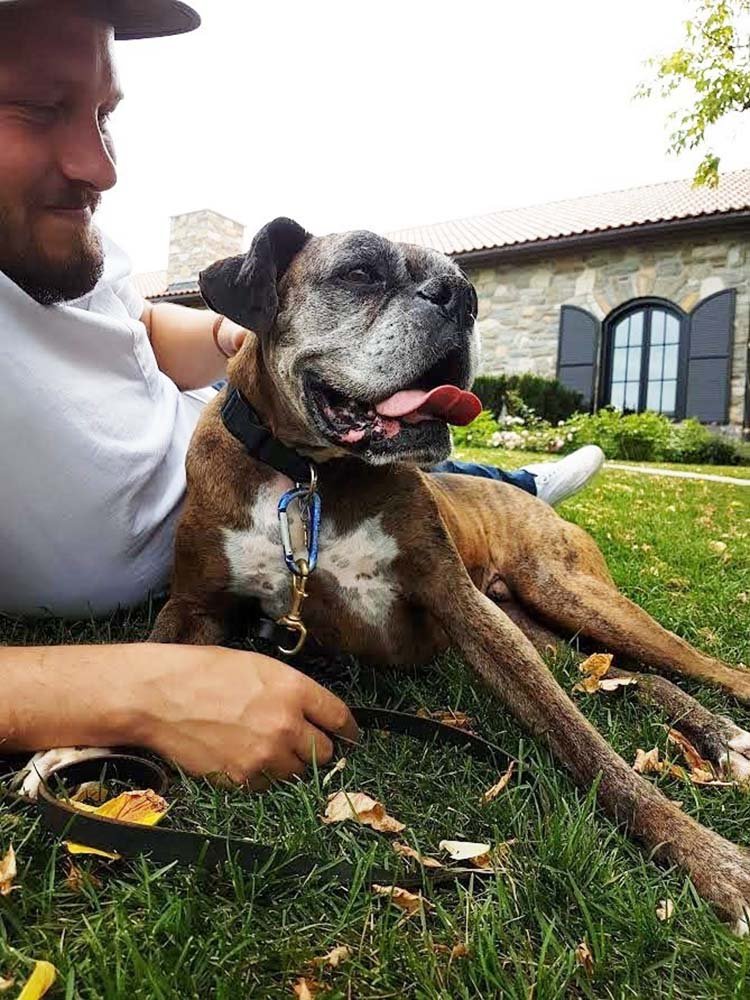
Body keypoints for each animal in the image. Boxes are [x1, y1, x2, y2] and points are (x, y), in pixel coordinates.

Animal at [151, 215, 750, 932]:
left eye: (465, 287)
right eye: (359, 272)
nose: (461, 300)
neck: (306, 477)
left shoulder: (465, 607)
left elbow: (584, 743)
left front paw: (714, 862)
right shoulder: (194, 608)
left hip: (568, 593)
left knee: (705, 668)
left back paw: (728, 735)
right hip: (546, 628)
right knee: (638, 677)